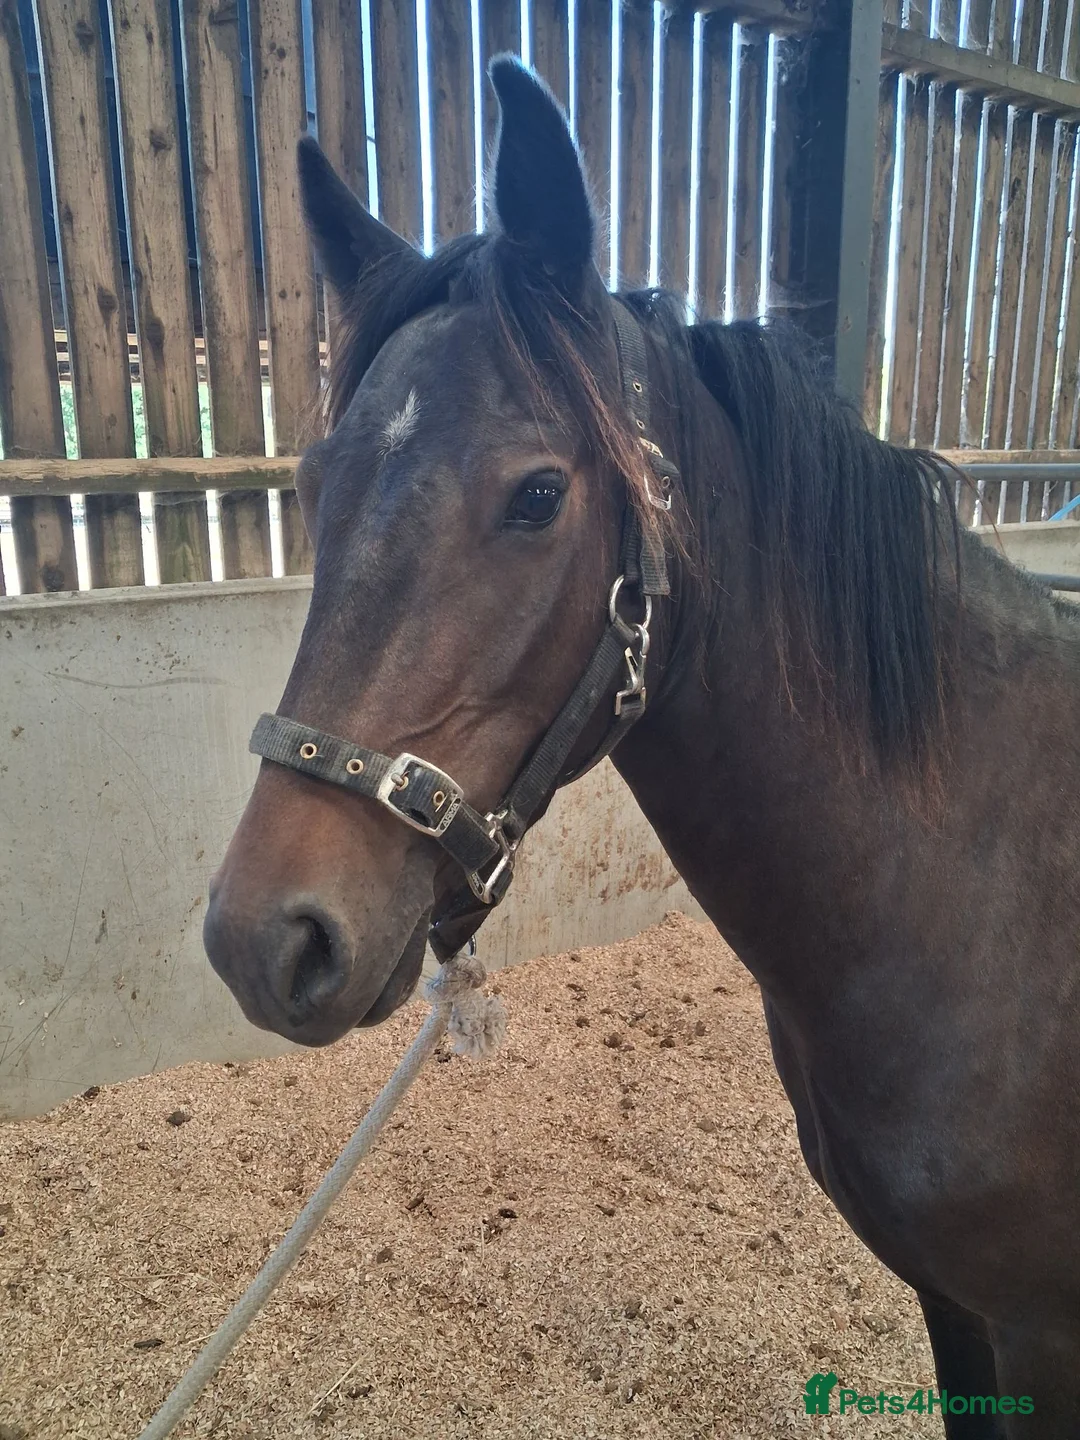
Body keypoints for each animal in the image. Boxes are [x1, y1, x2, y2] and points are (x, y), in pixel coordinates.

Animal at [203, 58, 1080, 1436]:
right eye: (311, 479)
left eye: (539, 495)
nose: (264, 939)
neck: (981, 894)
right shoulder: (954, 1307)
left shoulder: (1041, 1329)